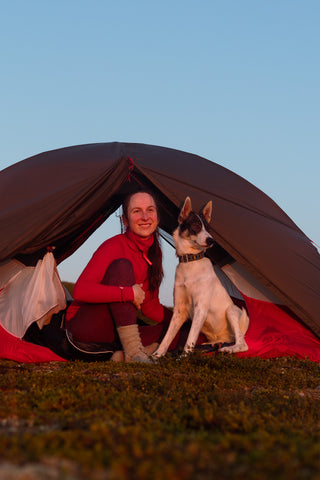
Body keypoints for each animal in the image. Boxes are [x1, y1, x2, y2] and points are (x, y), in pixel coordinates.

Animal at [154, 197, 249, 358]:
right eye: (196, 226)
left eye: (208, 229)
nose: (211, 241)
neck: (191, 261)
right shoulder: (179, 310)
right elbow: (167, 337)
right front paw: (157, 355)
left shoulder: (200, 308)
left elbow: (190, 339)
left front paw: (183, 358)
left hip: (231, 310)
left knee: (243, 344)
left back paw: (228, 349)